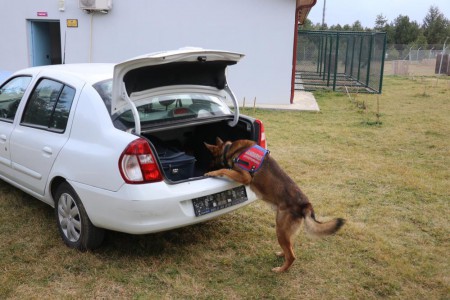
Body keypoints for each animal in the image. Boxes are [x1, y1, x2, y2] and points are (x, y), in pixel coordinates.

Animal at [204, 137, 344, 274]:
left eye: (211, 158)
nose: (205, 168)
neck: (229, 149)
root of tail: (305, 205)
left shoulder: (245, 177)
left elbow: (224, 170)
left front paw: (212, 173)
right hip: (286, 232)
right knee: (290, 247)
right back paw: (282, 254)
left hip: (280, 230)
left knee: (292, 256)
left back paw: (280, 269)